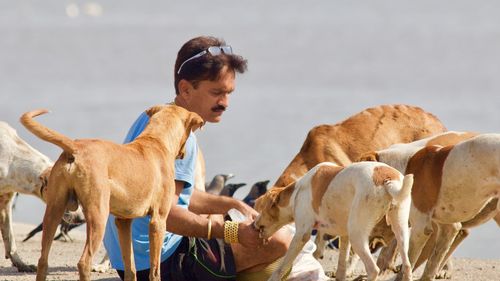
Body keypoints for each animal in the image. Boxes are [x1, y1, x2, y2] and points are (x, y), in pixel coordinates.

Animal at [19, 105, 203, 280]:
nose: (184, 154)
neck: (156, 141)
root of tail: (75, 147)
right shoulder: (158, 221)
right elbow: (155, 271)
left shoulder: (123, 221)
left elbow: (130, 269)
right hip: (98, 216)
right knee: (84, 263)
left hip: (53, 211)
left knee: (43, 260)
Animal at [254, 161, 414, 280]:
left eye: (260, 209)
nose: (254, 224)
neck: (296, 193)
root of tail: (387, 180)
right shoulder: (344, 236)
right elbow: (341, 268)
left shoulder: (301, 235)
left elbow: (282, 266)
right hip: (400, 229)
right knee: (407, 265)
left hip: (357, 235)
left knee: (373, 269)